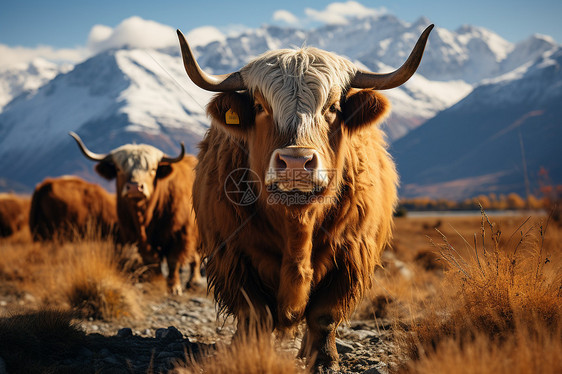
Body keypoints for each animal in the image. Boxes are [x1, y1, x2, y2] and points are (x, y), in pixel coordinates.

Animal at [69, 132, 201, 296]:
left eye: (152, 169)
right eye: (119, 169)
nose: (134, 187)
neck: (145, 216)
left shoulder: (179, 233)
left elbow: (173, 261)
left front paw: (174, 287)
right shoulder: (136, 237)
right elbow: (151, 261)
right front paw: (155, 281)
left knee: (197, 256)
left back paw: (195, 280)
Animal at [177, 24, 430, 372]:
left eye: (333, 107)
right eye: (260, 107)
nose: (296, 162)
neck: (297, 224)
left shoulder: (350, 253)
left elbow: (324, 314)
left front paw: (324, 360)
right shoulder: (232, 253)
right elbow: (254, 313)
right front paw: (246, 353)